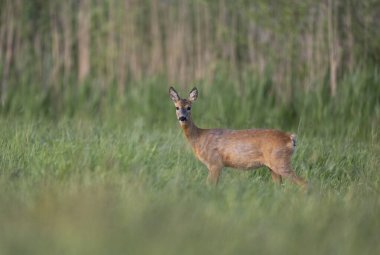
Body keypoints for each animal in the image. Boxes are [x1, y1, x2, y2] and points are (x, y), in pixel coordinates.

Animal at [171, 86, 308, 188]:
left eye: (189, 107)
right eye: (177, 107)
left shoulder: (215, 163)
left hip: (280, 161)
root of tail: (291, 138)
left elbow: (209, 185)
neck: (199, 138)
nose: (182, 117)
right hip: (273, 166)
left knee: (304, 183)